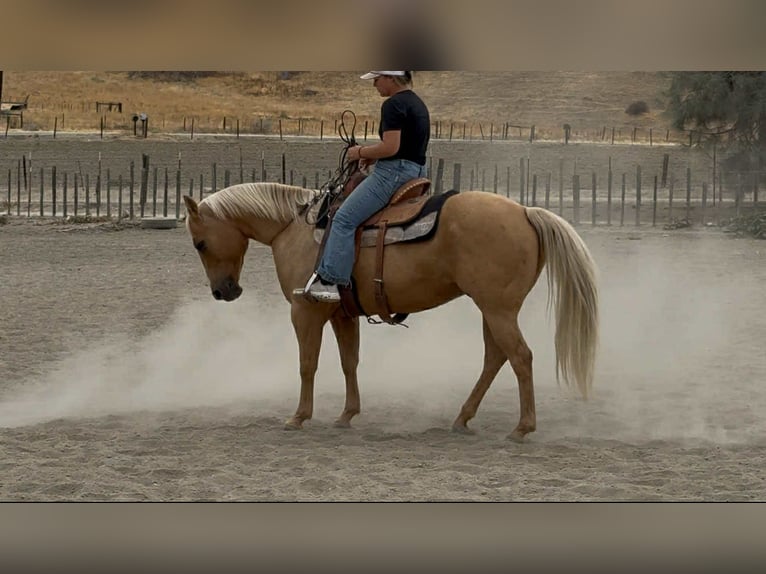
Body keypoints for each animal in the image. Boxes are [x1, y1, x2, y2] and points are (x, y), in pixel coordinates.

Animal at [182, 182, 599, 442]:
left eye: (200, 243)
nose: (223, 292)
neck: (294, 227)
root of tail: (526, 212)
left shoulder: (305, 311)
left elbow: (307, 364)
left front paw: (299, 417)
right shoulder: (342, 314)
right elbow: (349, 361)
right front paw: (347, 415)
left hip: (498, 310)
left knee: (521, 357)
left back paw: (521, 428)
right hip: (491, 308)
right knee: (495, 358)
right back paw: (462, 418)